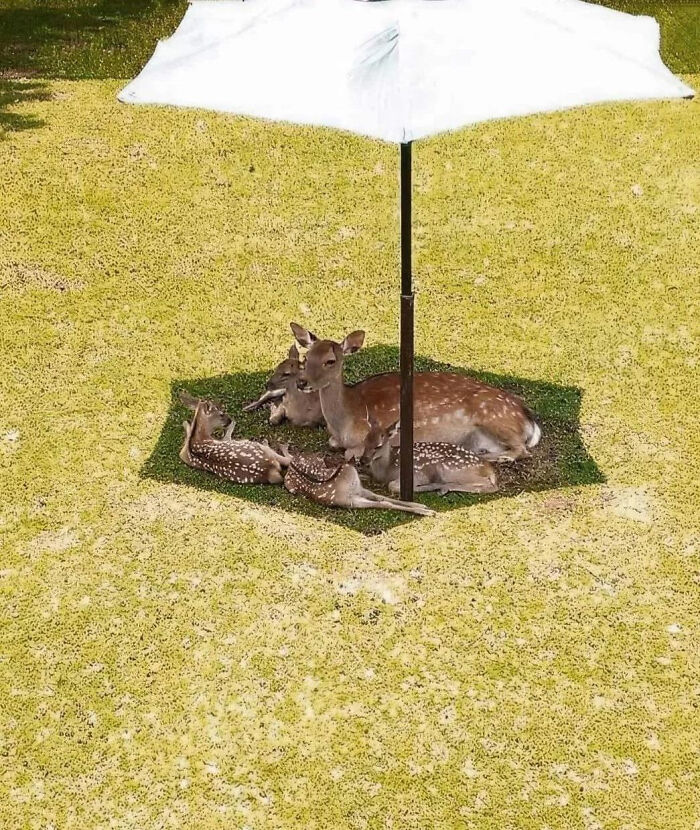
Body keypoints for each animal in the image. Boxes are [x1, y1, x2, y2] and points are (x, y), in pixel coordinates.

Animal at [284, 453, 435, 516]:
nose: (362, 463)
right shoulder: (352, 502)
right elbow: (384, 503)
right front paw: (427, 512)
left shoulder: (361, 490)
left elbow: (381, 497)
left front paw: (420, 505)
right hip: (292, 488)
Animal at [290, 323, 541, 463]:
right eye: (306, 356)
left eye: (330, 361)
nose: (302, 382)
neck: (345, 422)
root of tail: (528, 420)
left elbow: (349, 453)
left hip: (493, 415)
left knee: (522, 449)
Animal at [363, 418, 498, 496]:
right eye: (365, 441)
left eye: (378, 446)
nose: (363, 460)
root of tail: (488, 468)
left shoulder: (417, 473)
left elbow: (392, 486)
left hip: (450, 469)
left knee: (490, 485)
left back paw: (443, 488)